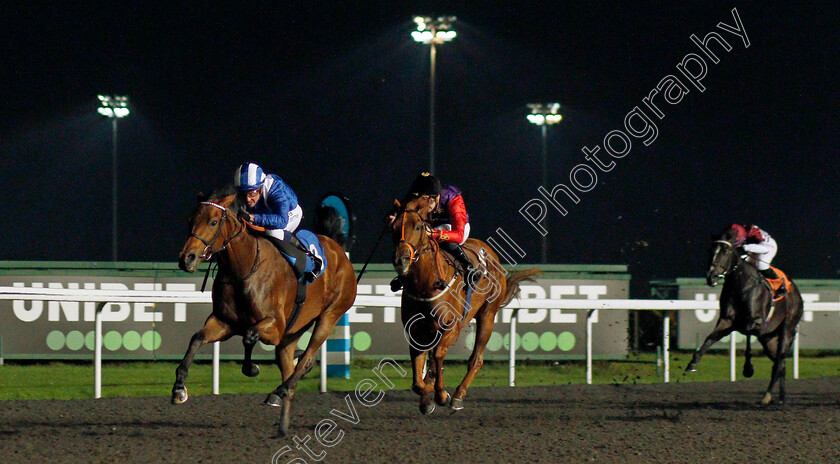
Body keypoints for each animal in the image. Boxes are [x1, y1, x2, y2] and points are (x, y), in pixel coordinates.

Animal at [176, 186, 356, 436]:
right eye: (190, 220)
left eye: (213, 222)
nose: (187, 258)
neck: (243, 267)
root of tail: (338, 248)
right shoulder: (223, 322)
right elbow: (197, 338)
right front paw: (179, 388)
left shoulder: (275, 327)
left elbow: (249, 336)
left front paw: (251, 368)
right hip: (293, 332)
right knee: (290, 367)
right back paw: (282, 424)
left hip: (330, 315)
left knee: (305, 361)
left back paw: (278, 391)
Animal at [388, 200, 540, 414]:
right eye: (393, 228)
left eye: (417, 227)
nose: (400, 260)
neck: (426, 284)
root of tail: (490, 254)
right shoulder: (416, 331)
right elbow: (418, 380)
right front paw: (426, 397)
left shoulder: (452, 327)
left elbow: (438, 355)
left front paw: (441, 395)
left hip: (487, 315)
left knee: (476, 359)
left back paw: (458, 395)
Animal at [684, 230, 804, 404]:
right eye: (710, 250)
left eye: (726, 252)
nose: (711, 276)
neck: (741, 284)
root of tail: (797, 294)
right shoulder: (728, 321)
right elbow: (710, 338)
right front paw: (693, 363)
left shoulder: (757, 323)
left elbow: (747, 334)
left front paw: (748, 368)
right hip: (768, 339)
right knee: (781, 363)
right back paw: (780, 397)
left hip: (786, 329)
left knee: (778, 363)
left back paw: (766, 396)